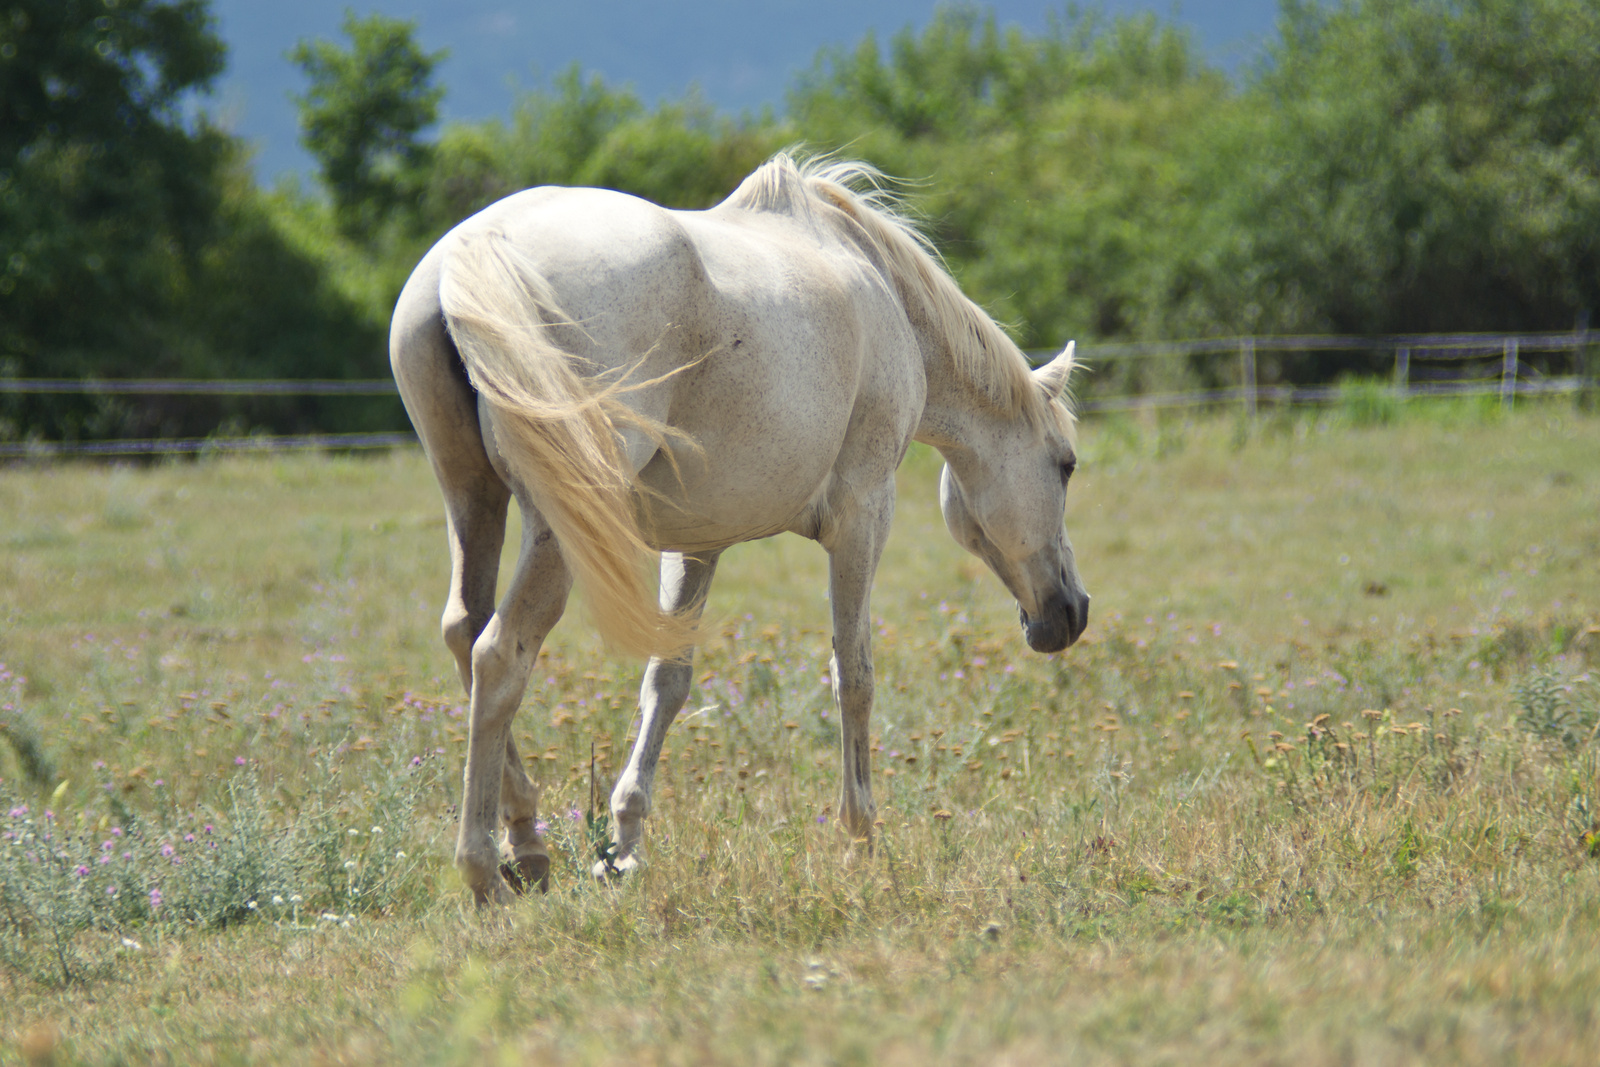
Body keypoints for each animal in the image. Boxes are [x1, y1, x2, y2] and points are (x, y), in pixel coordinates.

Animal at [388, 154, 1088, 908]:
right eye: (1066, 465)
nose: (1071, 613)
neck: (884, 295)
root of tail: (476, 248)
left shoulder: (697, 542)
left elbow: (667, 680)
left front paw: (625, 846)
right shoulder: (864, 513)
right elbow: (854, 673)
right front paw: (860, 841)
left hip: (473, 496)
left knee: (465, 630)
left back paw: (528, 840)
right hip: (559, 524)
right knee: (500, 654)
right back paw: (489, 866)